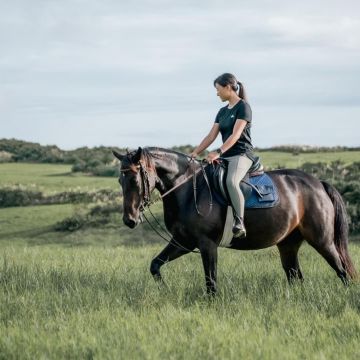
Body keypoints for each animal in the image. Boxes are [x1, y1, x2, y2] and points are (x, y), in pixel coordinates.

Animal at [113, 145, 358, 294]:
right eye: (120, 180)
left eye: (134, 179)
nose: (130, 220)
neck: (188, 188)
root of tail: (318, 184)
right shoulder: (183, 242)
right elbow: (155, 265)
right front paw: (164, 289)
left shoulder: (207, 245)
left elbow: (211, 282)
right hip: (288, 245)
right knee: (295, 276)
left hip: (322, 241)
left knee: (342, 270)